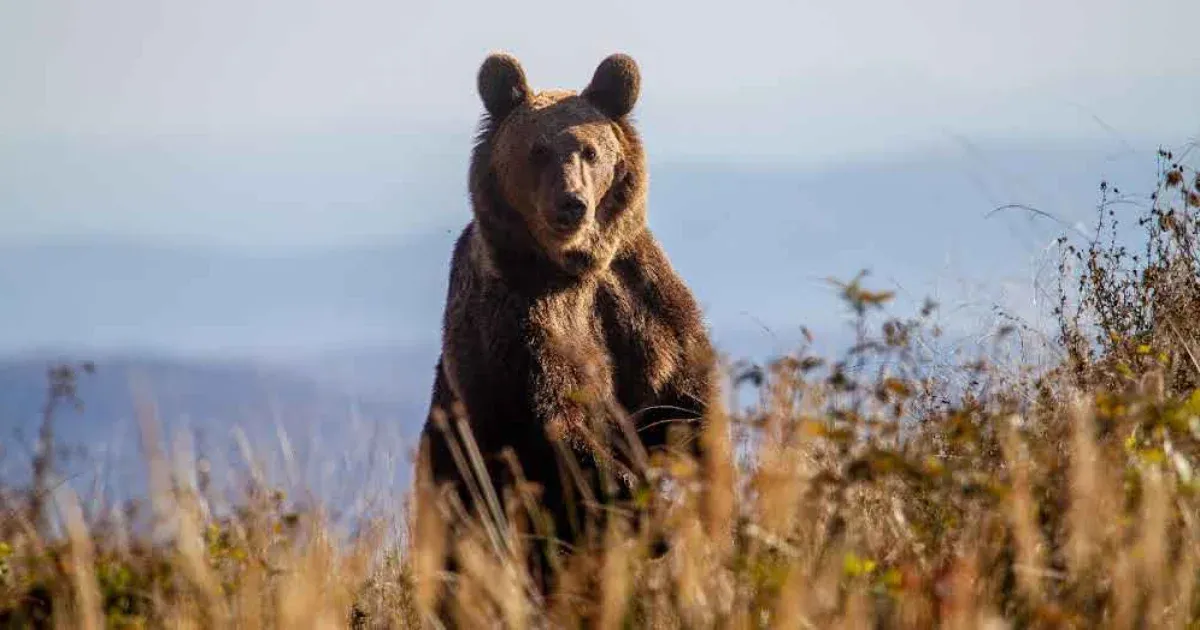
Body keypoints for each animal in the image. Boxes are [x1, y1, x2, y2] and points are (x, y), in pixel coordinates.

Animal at [412, 52, 715, 604]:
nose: (571, 202)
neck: (573, 267)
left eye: (590, 150)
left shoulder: (640, 293)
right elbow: (556, 419)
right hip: (453, 483)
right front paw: (642, 503)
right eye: (537, 150)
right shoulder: (521, 320)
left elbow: (683, 392)